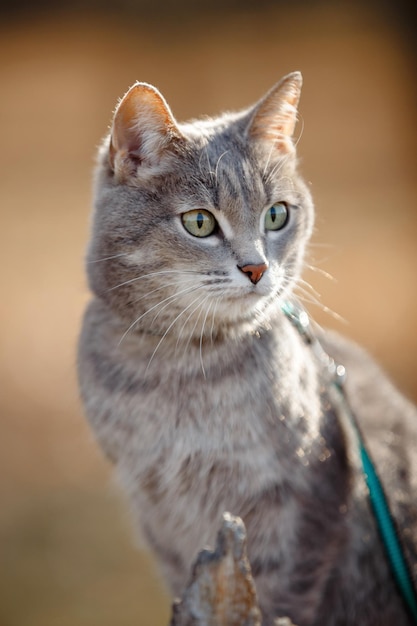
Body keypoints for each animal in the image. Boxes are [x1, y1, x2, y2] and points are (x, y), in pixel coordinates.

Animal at [78, 72, 416, 620]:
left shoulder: (303, 500)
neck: (182, 370)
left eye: (276, 215)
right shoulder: (158, 516)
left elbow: (284, 597)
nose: (257, 268)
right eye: (199, 222)